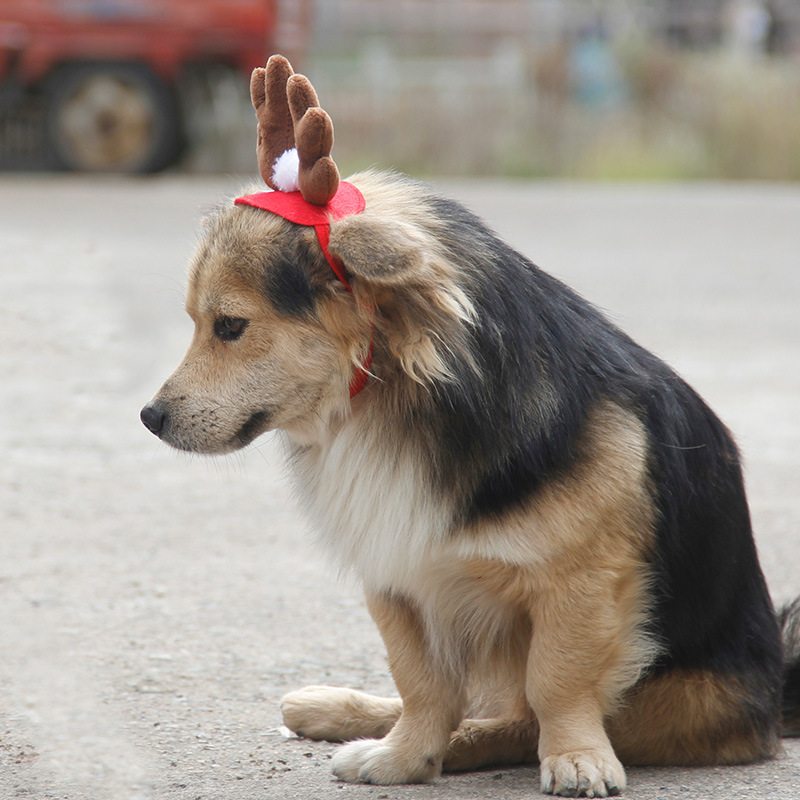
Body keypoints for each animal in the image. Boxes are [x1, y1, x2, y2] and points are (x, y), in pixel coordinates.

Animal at [144, 56, 800, 792]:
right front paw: (403, 756)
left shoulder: (583, 581)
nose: (149, 417)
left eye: (230, 326)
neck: (392, 402)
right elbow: (422, 683)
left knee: (517, 718)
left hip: (684, 697)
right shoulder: (398, 569)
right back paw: (336, 710)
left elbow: (555, 683)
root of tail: (775, 694)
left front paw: (574, 755)